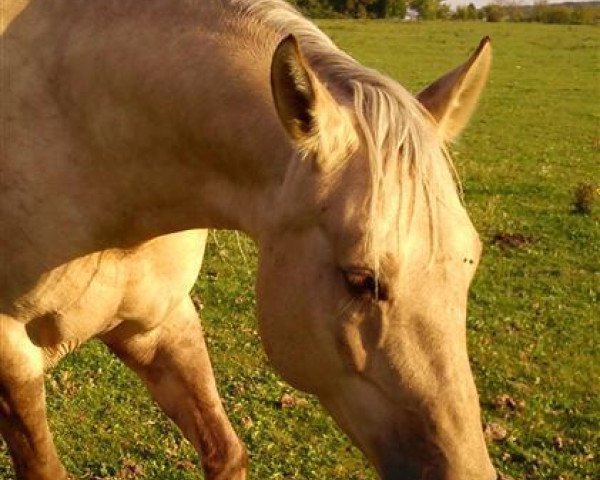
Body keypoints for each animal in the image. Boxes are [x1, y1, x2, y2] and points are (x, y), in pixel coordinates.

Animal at [2, 0, 494, 480]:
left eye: (470, 262)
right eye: (359, 279)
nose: (469, 472)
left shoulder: (159, 324)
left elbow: (226, 453)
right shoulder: (12, 357)